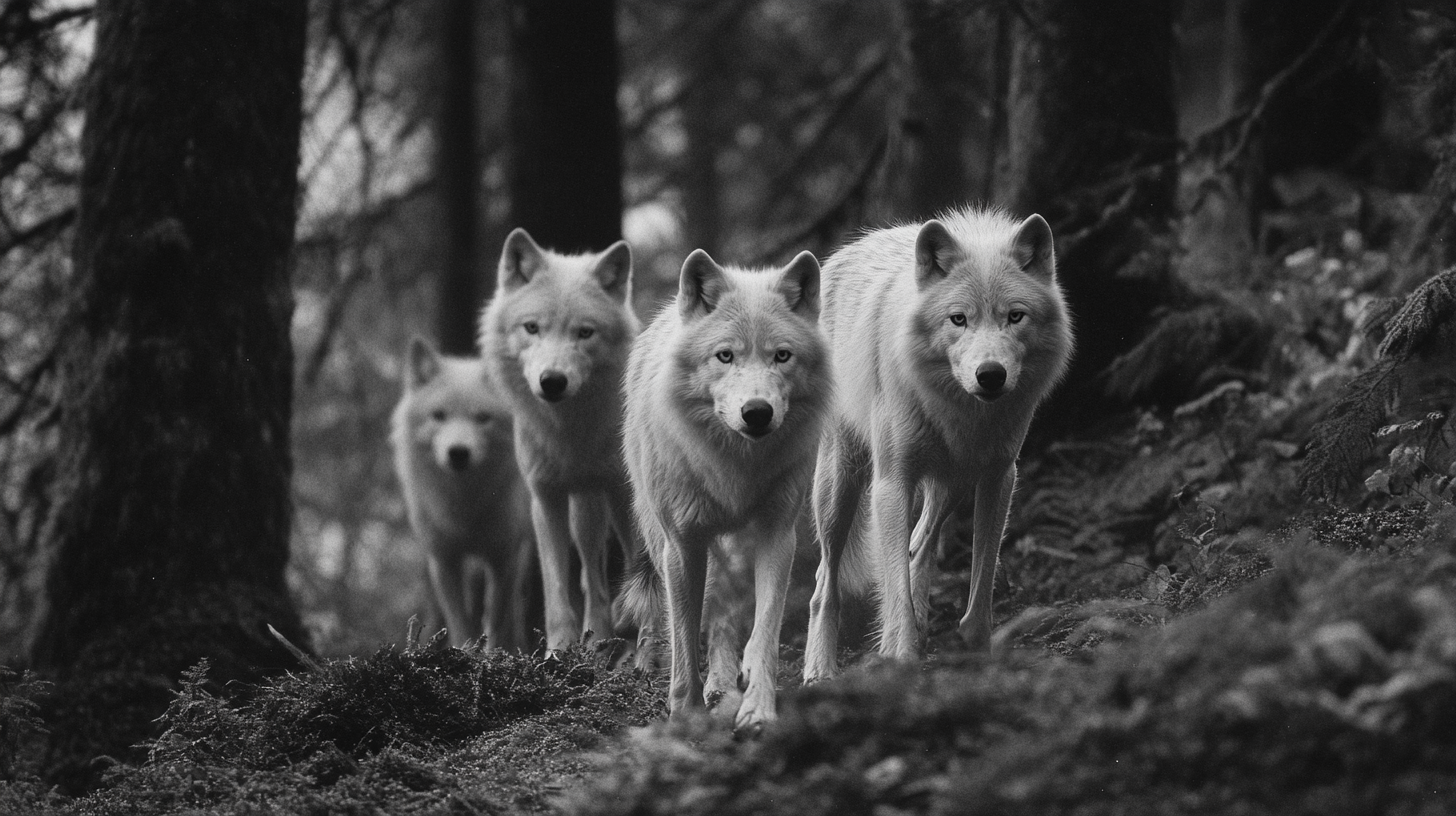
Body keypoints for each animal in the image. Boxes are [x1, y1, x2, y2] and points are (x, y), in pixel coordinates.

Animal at [393, 333, 535, 649]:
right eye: (439, 416)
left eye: (482, 418)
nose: (458, 453)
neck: (465, 505)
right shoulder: (444, 559)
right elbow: (461, 622)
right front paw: (464, 651)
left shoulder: (504, 556)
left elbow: (495, 618)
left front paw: (494, 654)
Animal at [477, 230, 643, 655]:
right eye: (532, 328)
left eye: (585, 332)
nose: (552, 381)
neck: (570, 435)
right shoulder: (545, 498)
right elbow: (556, 592)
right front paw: (558, 651)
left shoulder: (624, 494)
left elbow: (644, 578)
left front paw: (646, 650)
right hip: (584, 508)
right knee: (592, 577)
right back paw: (597, 640)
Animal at [620, 244, 832, 728]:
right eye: (725, 356)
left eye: (782, 356)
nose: (756, 412)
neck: (736, 467)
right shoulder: (682, 544)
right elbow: (683, 638)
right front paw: (686, 716)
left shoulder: (778, 534)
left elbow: (766, 626)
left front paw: (757, 708)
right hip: (663, 535)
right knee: (693, 613)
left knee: (725, 616)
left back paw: (727, 682)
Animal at [803, 205, 1077, 681]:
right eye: (958, 318)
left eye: (1015, 316)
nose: (990, 375)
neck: (963, 412)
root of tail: (845, 251)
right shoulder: (893, 483)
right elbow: (893, 587)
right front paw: (901, 656)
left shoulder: (998, 478)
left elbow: (980, 586)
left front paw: (975, 652)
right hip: (842, 486)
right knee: (824, 583)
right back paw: (820, 670)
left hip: (952, 484)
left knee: (918, 544)